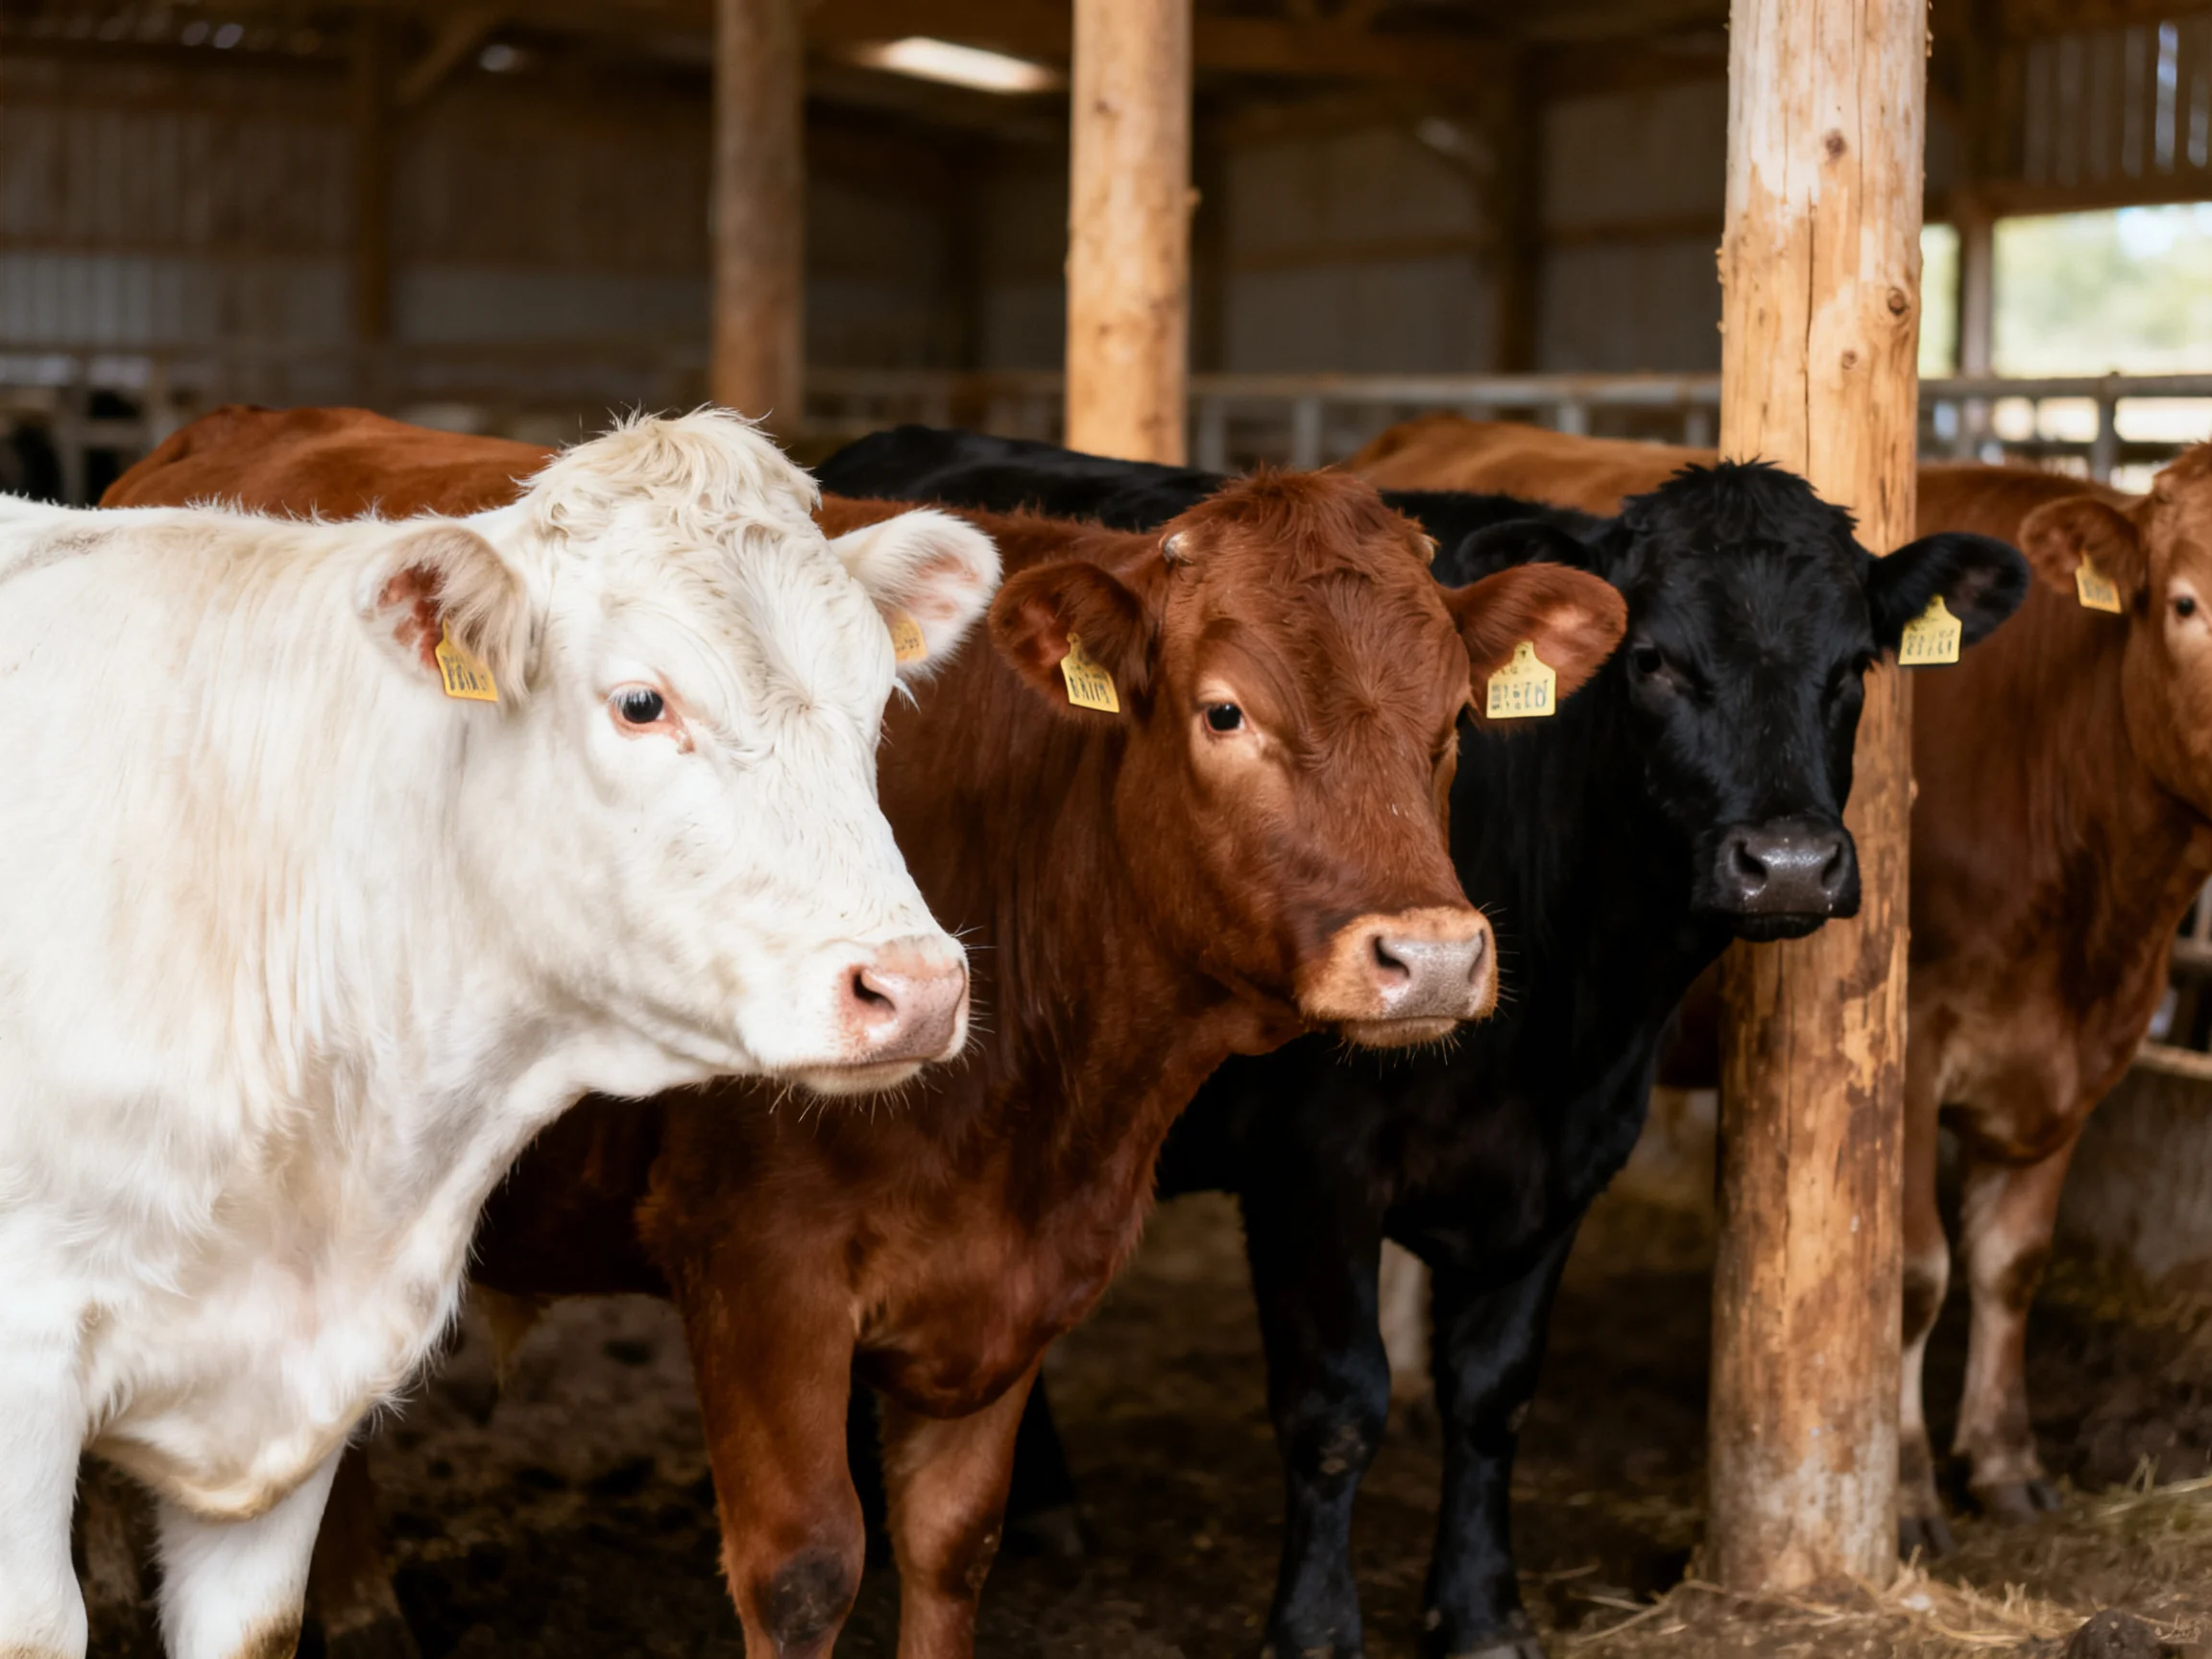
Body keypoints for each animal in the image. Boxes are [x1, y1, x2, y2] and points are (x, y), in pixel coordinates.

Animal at [812, 424, 2030, 1658]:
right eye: (1653, 663)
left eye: (1855, 669)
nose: (1786, 864)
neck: (1564, 1010)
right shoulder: (1312, 1172)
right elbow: (1335, 1407)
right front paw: (1312, 1627)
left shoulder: (1567, 1161)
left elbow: (1493, 1393)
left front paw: (1483, 1607)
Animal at [1343, 411, 2212, 1552]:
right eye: (2188, 602)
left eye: (1857, 666)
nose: (1792, 865)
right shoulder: (1911, 1045)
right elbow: (1912, 1275)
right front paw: (1906, 1493)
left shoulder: (2079, 1058)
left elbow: (2013, 1263)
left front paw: (2006, 1462)